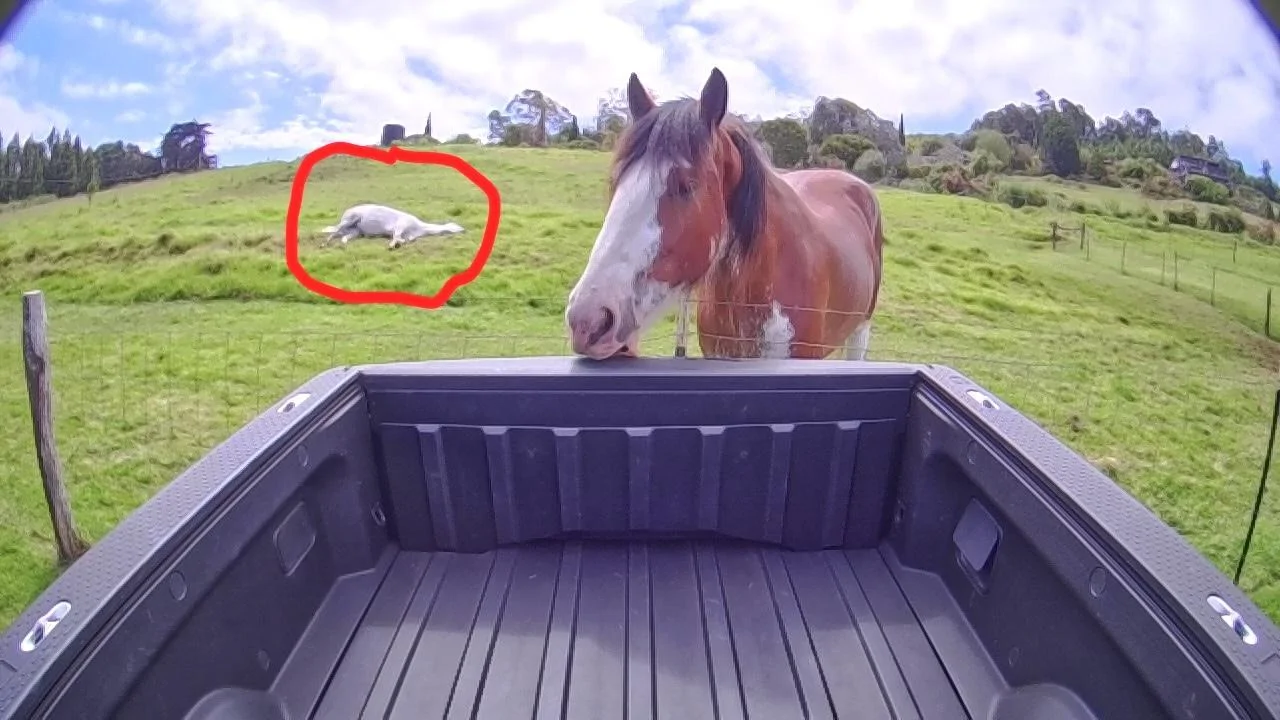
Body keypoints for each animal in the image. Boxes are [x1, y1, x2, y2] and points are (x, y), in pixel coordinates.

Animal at [319, 203, 465, 250]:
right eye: (457, 226)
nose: (464, 230)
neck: (419, 228)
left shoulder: (405, 234)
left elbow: (405, 240)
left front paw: (396, 244)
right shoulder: (400, 225)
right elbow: (397, 237)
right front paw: (391, 246)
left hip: (355, 231)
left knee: (342, 237)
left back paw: (343, 245)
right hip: (349, 219)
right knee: (334, 232)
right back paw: (323, 244)